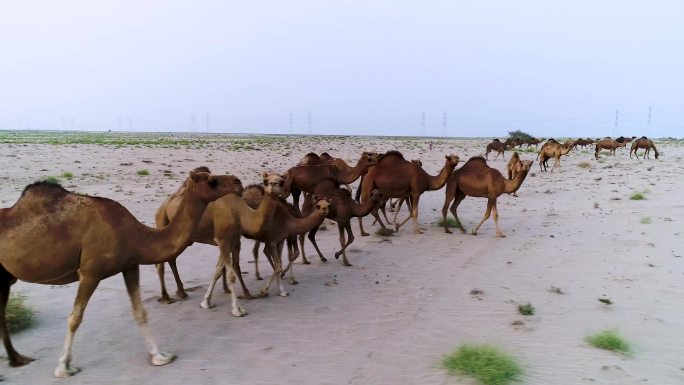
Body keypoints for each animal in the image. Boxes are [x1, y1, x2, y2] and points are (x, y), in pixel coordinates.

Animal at [0, 171, 243, 376]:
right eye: (211, 180)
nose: (238, 182)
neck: (133, 234)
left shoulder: (130, 265)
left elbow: (140, 312)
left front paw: (160, 356)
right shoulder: (90, 272)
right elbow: (74, 318)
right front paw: (63, 367)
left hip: (6, 276)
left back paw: (17, 358)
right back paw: (18, 359)